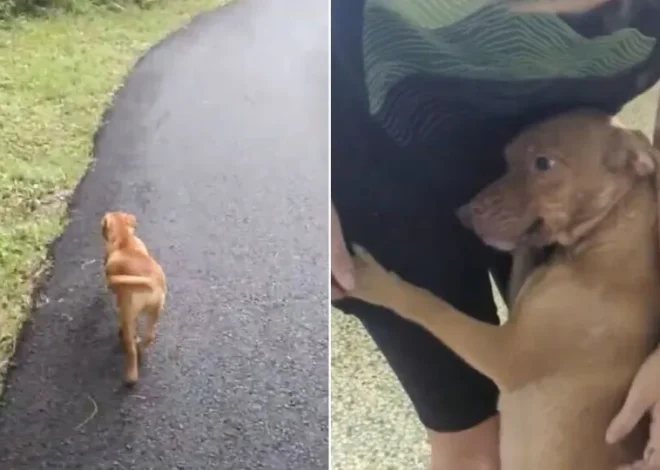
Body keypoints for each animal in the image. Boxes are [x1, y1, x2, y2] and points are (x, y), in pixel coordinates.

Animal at [102, 212, 168, 386]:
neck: (124, 240)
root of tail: (152, 283)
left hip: (129, 314)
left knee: (130, 347)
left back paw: (131, 376)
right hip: (154, 311)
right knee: (149, 337)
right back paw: (141, 346)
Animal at [350, 111, 660, 470]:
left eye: (543, 163)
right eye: (507, 158)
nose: (462, 214)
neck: (601, 246)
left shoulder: (504, 353)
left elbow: (432, 306)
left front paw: (374, 281)